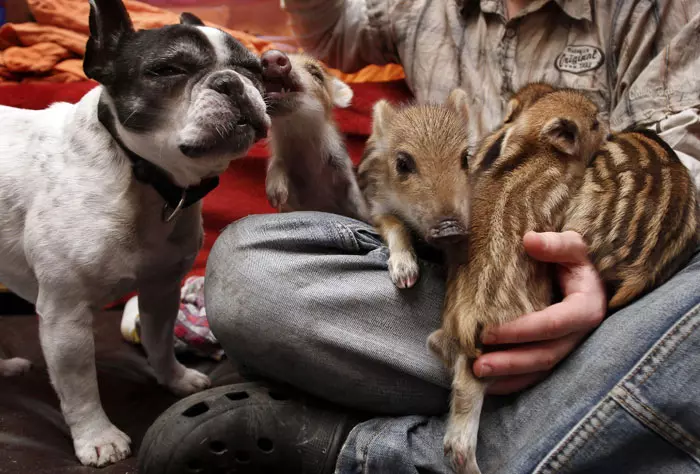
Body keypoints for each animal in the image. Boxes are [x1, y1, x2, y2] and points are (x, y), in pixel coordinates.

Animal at [0, 0, 270, 466]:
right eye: (167, 70)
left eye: (253, 68)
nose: (231, 82)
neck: (143, 176)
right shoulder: (65, 315)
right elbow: (79, 385)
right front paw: (97, 437)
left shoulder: (161, 289)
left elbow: (159, 341)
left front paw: (175, 379)